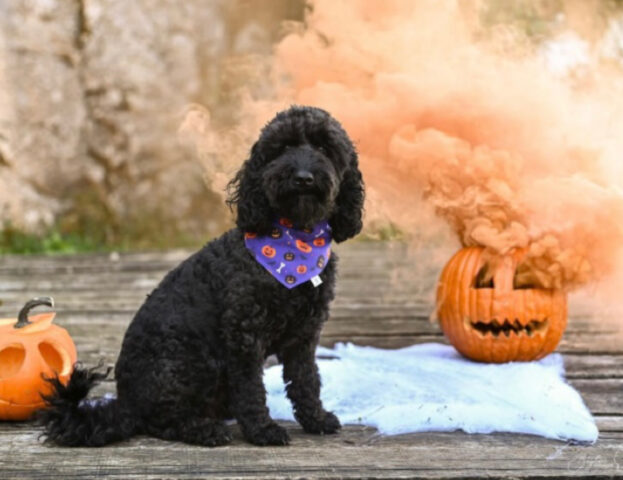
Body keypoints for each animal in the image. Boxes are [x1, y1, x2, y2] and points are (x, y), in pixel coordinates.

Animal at [39, 105, 366, 446]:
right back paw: (204, 429)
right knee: (161, 420)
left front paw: (316, 418)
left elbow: (306, 381)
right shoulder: (243, 337)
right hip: (189, 360)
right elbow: (251, 389)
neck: (296, 245)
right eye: (283, 148)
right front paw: (262, 429)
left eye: (324, 148)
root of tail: (126, 403)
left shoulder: (304, 336)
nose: (303, 177)